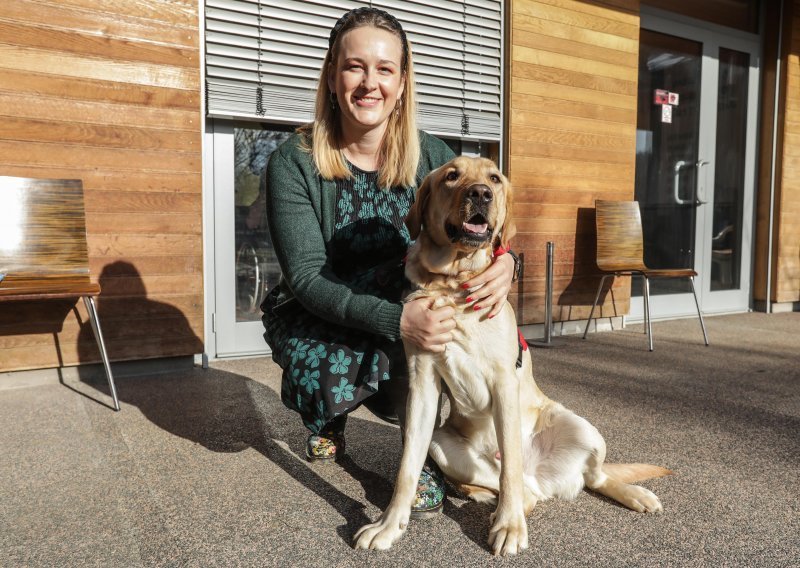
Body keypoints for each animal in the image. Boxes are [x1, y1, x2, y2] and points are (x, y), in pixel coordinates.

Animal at [354, 156, 672, 556]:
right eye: (451, 176)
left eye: (494, 178)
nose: (480, 194)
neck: (453, 284)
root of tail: (541, 477)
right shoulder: (423, 384)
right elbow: (407, 467)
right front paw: (388, 525)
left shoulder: (504, 382)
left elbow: (509, 467)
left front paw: (509, 527)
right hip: (442, 444)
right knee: (527, 492)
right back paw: (489, 498)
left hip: (583, 427)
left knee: (590, 477)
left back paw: (632, 494)